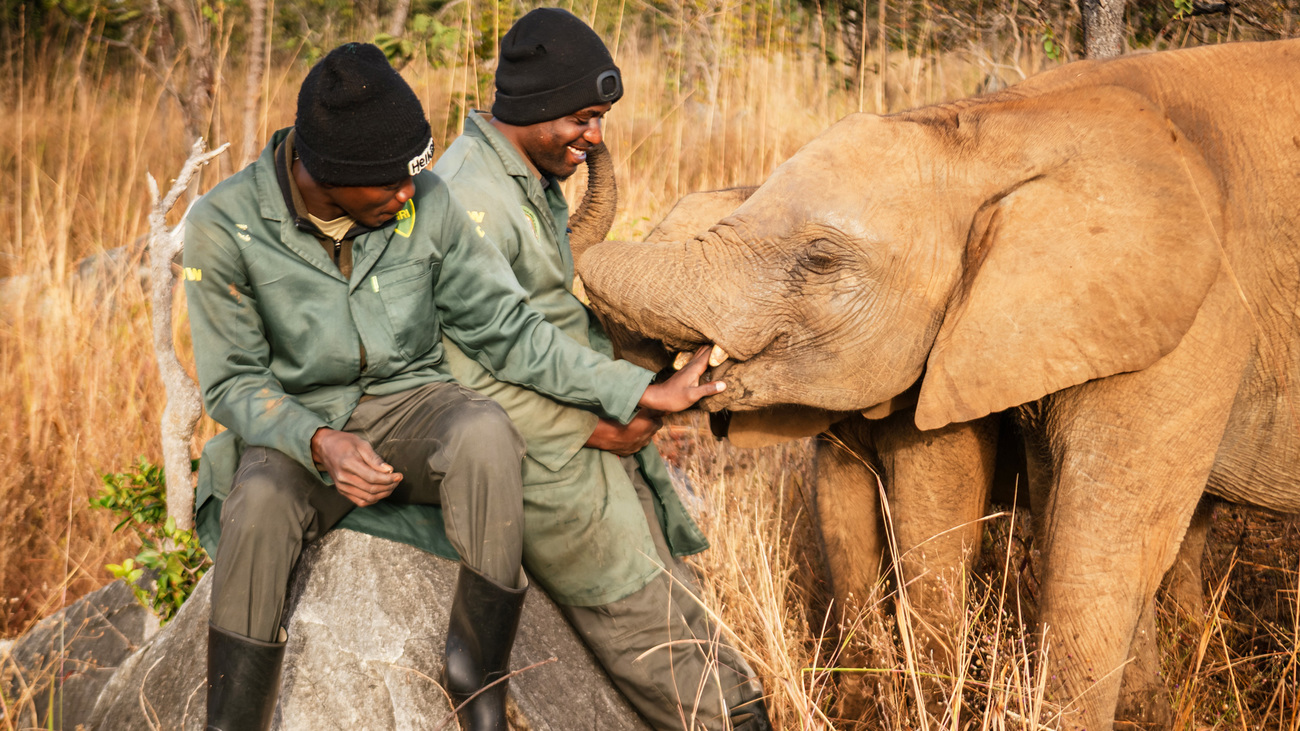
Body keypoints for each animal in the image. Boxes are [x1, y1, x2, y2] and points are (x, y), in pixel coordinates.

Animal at [576, 39, 1300, 730]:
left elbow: (1052, 540)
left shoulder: (1196, 314)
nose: (591, 127)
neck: (1002, 128)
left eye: (821, 257)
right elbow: (847, 507)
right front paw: (864, 708)